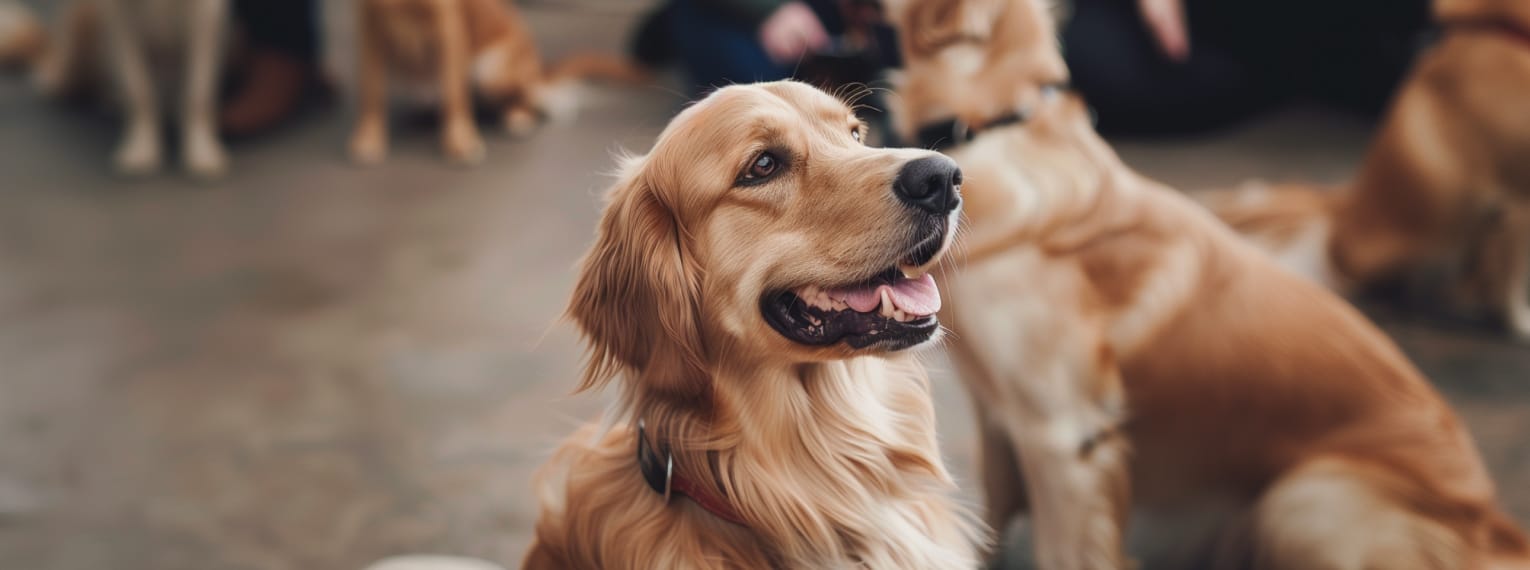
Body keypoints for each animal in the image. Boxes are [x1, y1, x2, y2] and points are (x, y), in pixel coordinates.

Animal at [348, 0, 645, 164]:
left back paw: (518, 118)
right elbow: (370, 91)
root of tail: (537, 67)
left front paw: (460, 142)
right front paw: (368, 140)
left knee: (531, 98)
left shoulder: (449, 24)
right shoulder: (367, 25)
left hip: (491, 73)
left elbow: (455, 94)